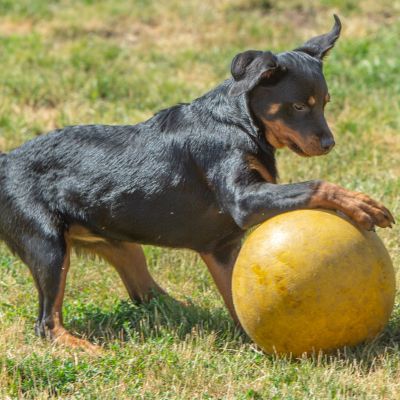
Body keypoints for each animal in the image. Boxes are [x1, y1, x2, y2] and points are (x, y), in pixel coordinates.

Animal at [0, 14, 394, 350]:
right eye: (298, 106)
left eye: (325, 102)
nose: (329, 144)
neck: (240, 122)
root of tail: (6, 161)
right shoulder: (243, 201)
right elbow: (316, 184)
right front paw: (362, 204)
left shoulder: (221, 247)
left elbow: (236, 298)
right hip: (48, 246)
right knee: (47, 322)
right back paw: (83, 347)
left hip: (119, 244)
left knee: (144, 293)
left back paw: (187, 314)